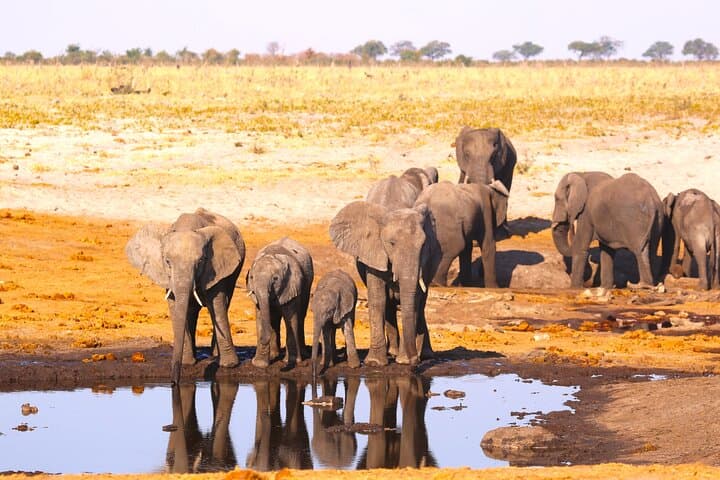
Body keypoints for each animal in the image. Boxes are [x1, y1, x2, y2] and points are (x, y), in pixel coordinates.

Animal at [126, 208, 245, 384]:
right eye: (167, 262)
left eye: (201, 261)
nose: (173, 383)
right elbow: (176, 306)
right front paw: (186, 363)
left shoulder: (216, 266)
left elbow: (217, 305)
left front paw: (229, 365)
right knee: (192, 311)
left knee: (224, 302)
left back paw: (215, 355)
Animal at [246, 237, 313, 368]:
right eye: (251, 278)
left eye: (275, 279)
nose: (263, 339)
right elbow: (261, 317)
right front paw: (260, 364)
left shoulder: (291, 286)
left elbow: (291, 318)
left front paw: (291, 362)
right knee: (275, 319)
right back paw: (274, 355)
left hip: (307, 287)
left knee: (300, 317)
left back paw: (303, 354)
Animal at [330, 201, 439, 366]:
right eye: (391, 243)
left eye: (424, 245)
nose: (415, 361)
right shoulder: (374, 253)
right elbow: (378, 299)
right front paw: (375, 363)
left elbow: (414, 301)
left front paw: (403, 361)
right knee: (389, 305)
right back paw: (393, 352)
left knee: (421, 306)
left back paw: (424, 355)